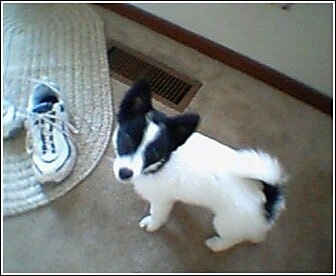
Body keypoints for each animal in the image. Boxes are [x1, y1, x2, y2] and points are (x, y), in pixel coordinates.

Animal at [113, 79, 286, 252]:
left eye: (154, 152)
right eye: (127, 138)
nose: (125, 173)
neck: (163, 163)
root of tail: (267, 200)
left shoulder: (160, 199)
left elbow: (157, 214)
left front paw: (152, 224)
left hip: (225, 222)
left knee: (233, 239)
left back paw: (216, 244)